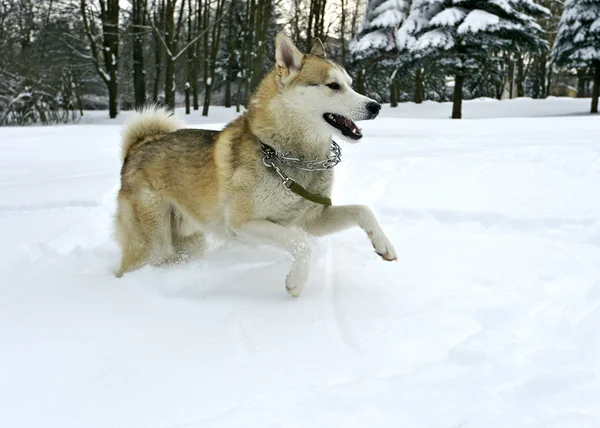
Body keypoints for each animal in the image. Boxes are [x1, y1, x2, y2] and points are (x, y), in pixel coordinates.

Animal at [116, 33, 398, 296]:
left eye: (350, 84)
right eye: (333, 85)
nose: (375, 106)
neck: (282, 154)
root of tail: (137, 147)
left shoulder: (313, 219)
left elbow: (363, 210)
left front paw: (384, 244)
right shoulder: (243, 224)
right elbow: (299, 242)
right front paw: (296, 282)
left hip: (187, 242)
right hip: (154, 244)